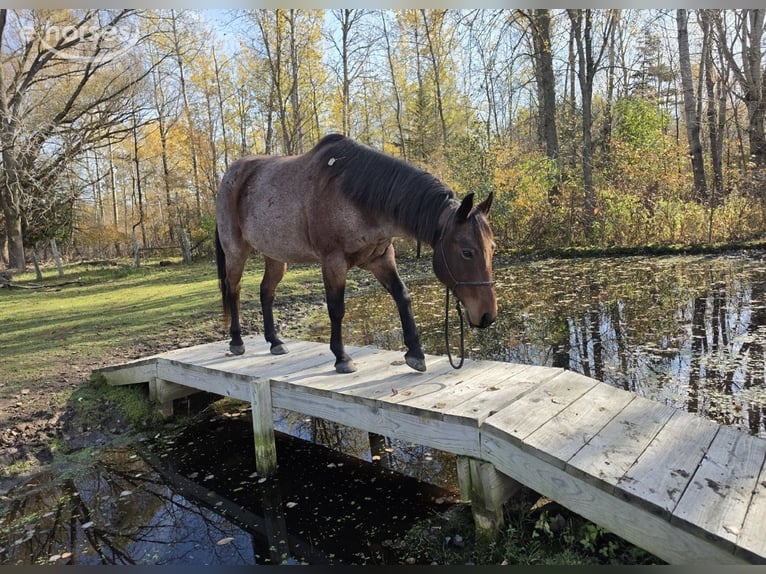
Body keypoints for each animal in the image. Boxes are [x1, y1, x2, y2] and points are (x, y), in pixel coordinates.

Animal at [214, 133, 497, 374]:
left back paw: (275, 342)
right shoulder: (333, 262)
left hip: (275, 256)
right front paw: (342, 358)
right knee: (234, 289)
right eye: (467, 252)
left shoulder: (381, 258)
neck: (353, 195)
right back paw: (237, 341)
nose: (487, 316)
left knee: (266, 292)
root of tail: (230, 176)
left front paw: (415, 353)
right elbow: (337, 308)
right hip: (236, 252)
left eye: (492, 248)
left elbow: (402, 296)